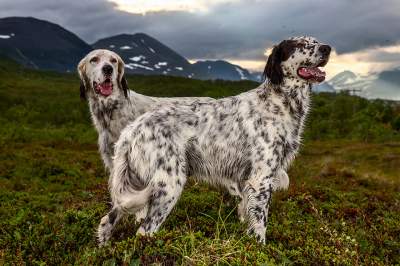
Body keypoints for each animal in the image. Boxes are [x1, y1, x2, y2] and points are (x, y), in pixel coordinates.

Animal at [97, 35, 332, 245]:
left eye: (315, 41)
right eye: (299, 44)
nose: (327, 48)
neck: (278, 102)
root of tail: (131, 130)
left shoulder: (246, 182)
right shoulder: (261, 178)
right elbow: (259, 224)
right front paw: (259, 247)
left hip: (135, 185)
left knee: (107, 220)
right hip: (168, 185)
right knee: (144, 231)